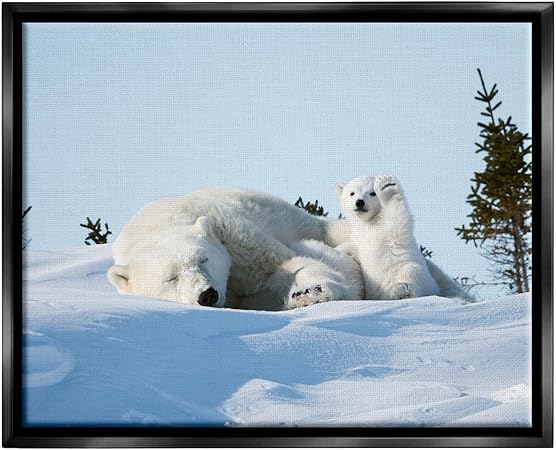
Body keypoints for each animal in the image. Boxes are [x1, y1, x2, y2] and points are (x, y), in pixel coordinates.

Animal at [108, 186, 360, 310]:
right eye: (171, 278)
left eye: (204, 259)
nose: (207, 295)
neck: (156, 226)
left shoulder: (229, 233)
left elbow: (280, 265)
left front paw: (311, 292)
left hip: (290, 217)